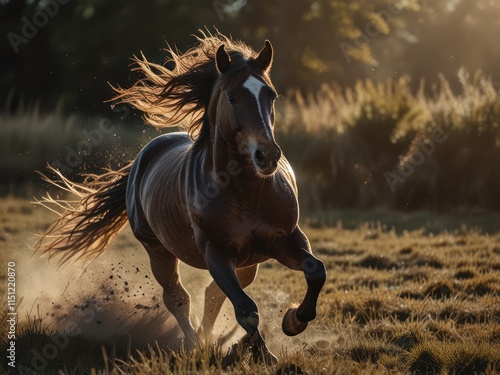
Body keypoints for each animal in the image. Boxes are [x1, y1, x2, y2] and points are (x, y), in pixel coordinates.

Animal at [39, 32, 328, 364]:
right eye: (232, 97)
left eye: (271, 95)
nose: (266, 156)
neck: (245, 192)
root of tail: (143, 158)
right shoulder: (216, 252)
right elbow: (245, 308)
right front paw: (264, 354)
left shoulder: (286, 239)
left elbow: (316, 270)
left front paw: (293, 321)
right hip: (158, 250)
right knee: (178, 298)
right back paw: (193, 343)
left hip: (248, 262)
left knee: (213, 295)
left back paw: (209, 338)